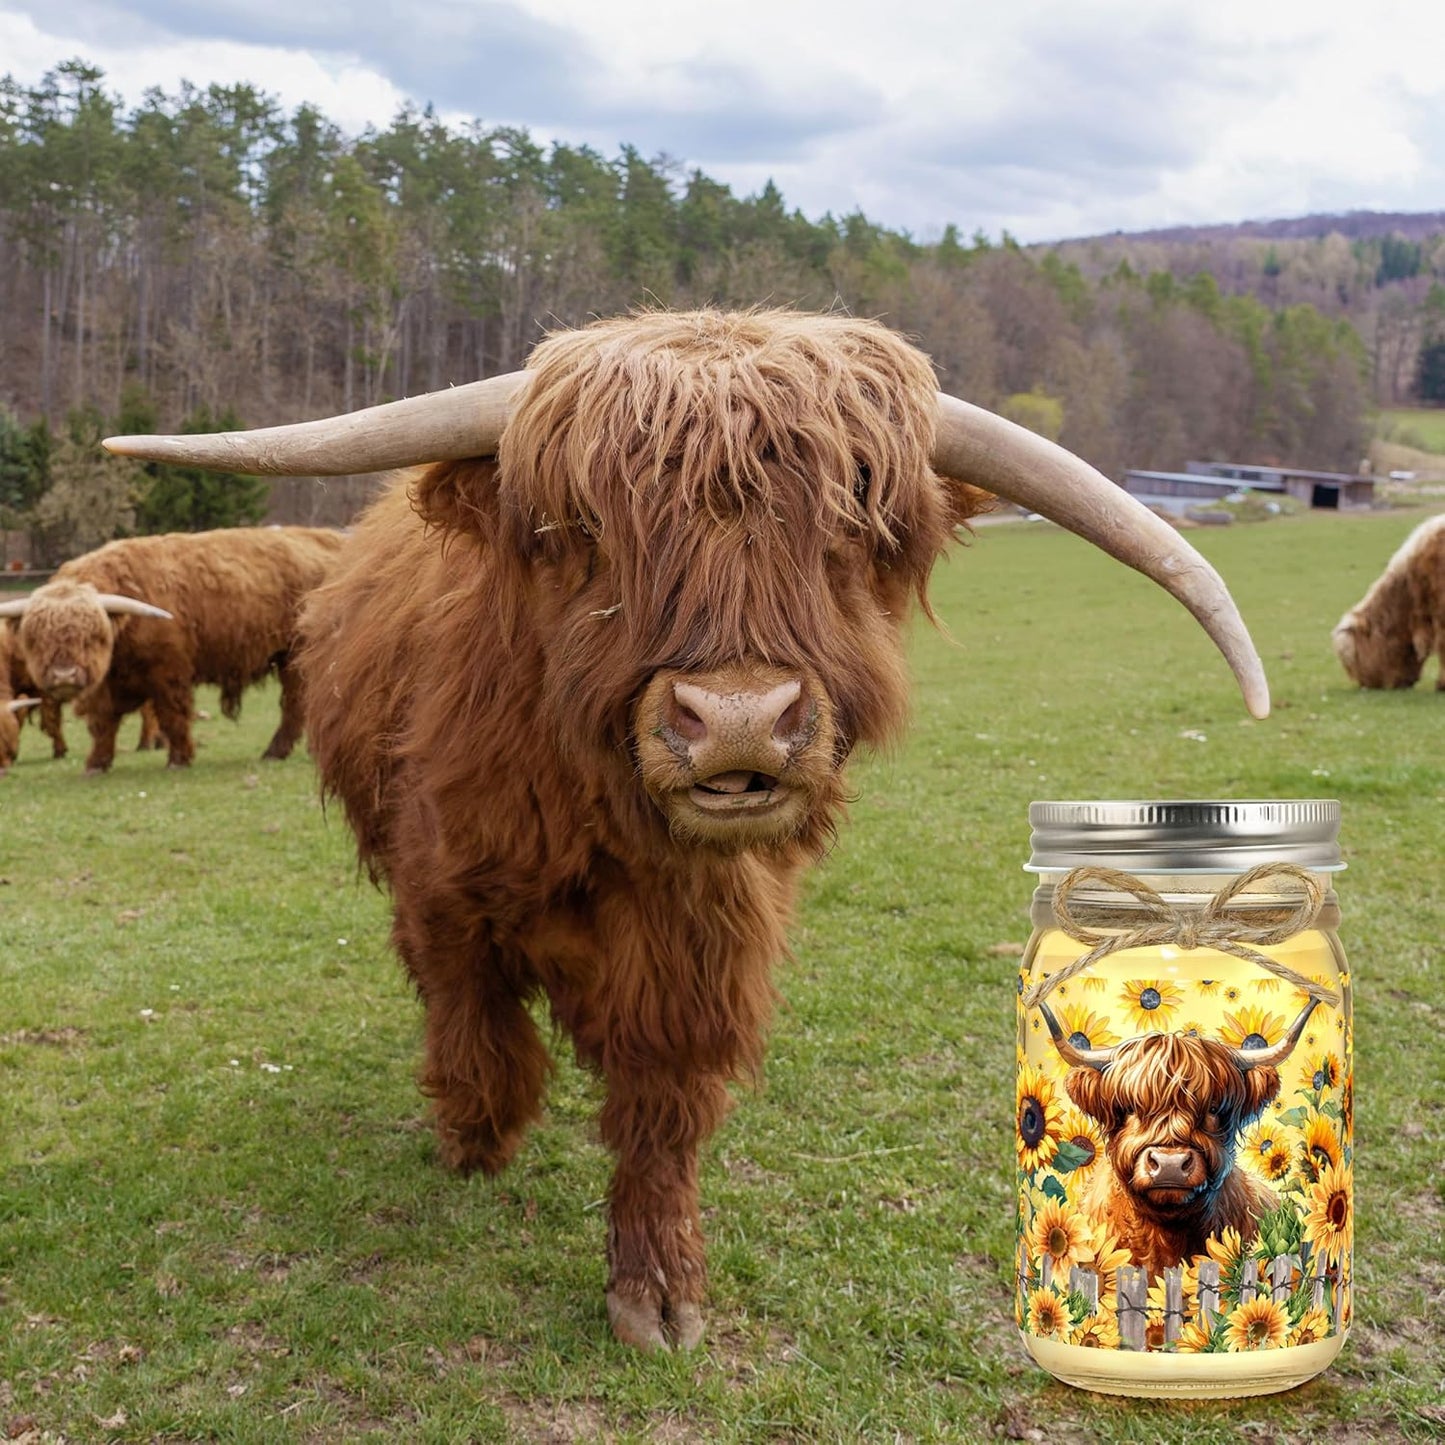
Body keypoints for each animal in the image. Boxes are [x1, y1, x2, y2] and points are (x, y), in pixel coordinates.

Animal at [0, 527, 346, 773]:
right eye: (35, 637)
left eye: (93, 636)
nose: (64, 676)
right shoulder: (104, 686)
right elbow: (103, 724)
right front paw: (97, 763)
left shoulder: (168, 673)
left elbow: (173, 715)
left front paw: (178, 759)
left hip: (298, 657)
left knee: (295, 705)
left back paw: (275, 752)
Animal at [104, 308, 1270, 1350]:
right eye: (582, 528)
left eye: (853, 517)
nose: (740, 718)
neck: (603, 830)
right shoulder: (445, 890)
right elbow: (478, 1027)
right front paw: (477, 1135)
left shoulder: (703, 938)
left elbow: (659, 1109)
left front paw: (656, 1293)